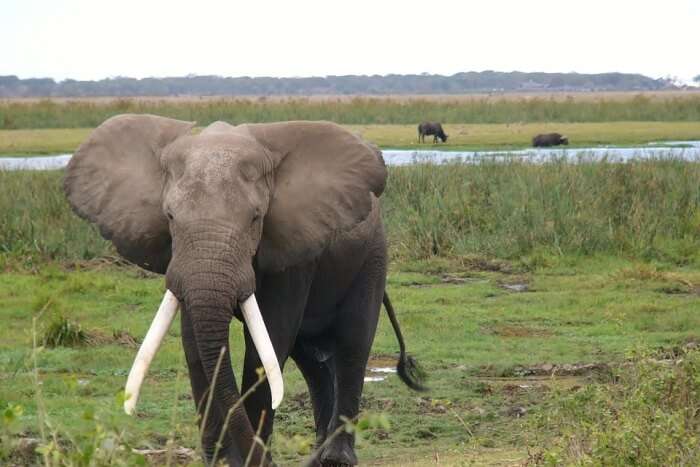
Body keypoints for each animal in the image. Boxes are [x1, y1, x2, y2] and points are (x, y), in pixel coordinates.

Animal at [63, 114, 426, 467]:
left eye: (255, 218)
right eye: (169, 216)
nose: (266, 460)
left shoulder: (292, 251)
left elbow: (267, 344)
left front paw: (253, 460)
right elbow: (195, 344)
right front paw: (223, 462)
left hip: (371, 257)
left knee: (353, 344)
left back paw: (335, 459)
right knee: (309, 360)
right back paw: (315, 456)